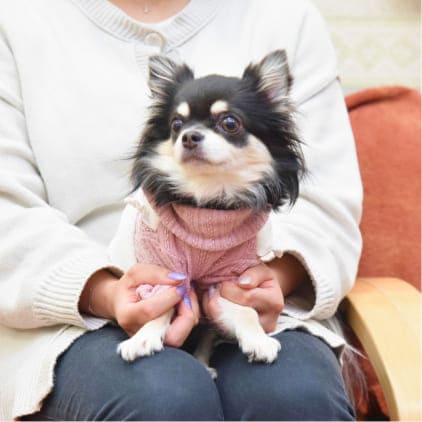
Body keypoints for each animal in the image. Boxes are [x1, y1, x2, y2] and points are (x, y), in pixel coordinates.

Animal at [117, 48, 304, 366]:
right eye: (176, 125)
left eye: (230, 123)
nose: (189, 136)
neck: (207, 199)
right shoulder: (162, 268)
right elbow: (158, 303)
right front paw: (143, 337)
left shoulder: (231, 278)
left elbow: (245, 310)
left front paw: (257, 339)